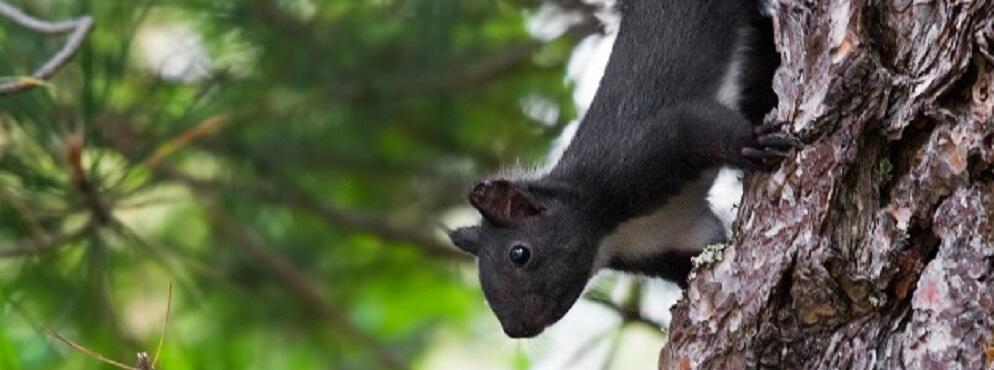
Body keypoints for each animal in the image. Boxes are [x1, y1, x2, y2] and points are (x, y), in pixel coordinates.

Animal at [446, 0, 796, 338]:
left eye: (519, 254)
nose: (516, 329)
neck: (610, 230)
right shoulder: (670, 239)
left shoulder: (639, 155)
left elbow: (697, 127)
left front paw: (751, 142)